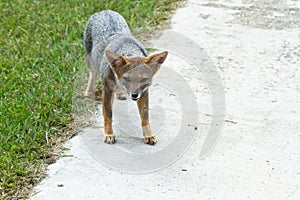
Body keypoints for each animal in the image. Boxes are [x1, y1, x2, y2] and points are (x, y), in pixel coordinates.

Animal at [83, 10, 168, 145]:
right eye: (127, 78)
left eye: (143, 79)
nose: (134, 95)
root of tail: (105, 10)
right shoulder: (107, 89)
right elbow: (108, 115)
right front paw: (109, 134)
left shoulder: (144, 92)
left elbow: (145, 117)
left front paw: (148, 135)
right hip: (91, 63)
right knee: (93, 74)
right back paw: (89, 92)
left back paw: (120, 93)